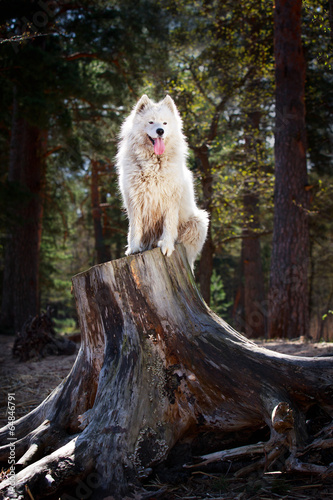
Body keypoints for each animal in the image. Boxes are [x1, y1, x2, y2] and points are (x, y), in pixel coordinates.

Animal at [116, 95, 208, 272]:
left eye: (165, 123)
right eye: (151, 122)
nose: (160, 131)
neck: (153, 162)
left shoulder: (170, 199)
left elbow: (169, 225)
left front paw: (166, 245)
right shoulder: (134, 200)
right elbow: (135, 228)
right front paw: (133, 248)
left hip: (199, 221)